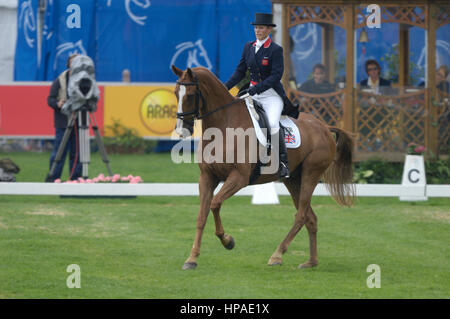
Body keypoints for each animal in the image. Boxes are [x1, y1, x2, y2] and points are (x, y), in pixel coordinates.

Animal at [172, 66, 356, 272]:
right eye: (176, 93)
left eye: (190, 94)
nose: (182, 130)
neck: (224, 124)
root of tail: (324, 126)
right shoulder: (207, 177)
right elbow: (201, 216)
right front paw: (192, 258)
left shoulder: (239, 178)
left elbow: (215, 204)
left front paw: (228, 241)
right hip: (293, 180)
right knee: (310, 218)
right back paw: (311, 261)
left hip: (311, 174)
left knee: (301, 215)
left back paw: (277, 255)